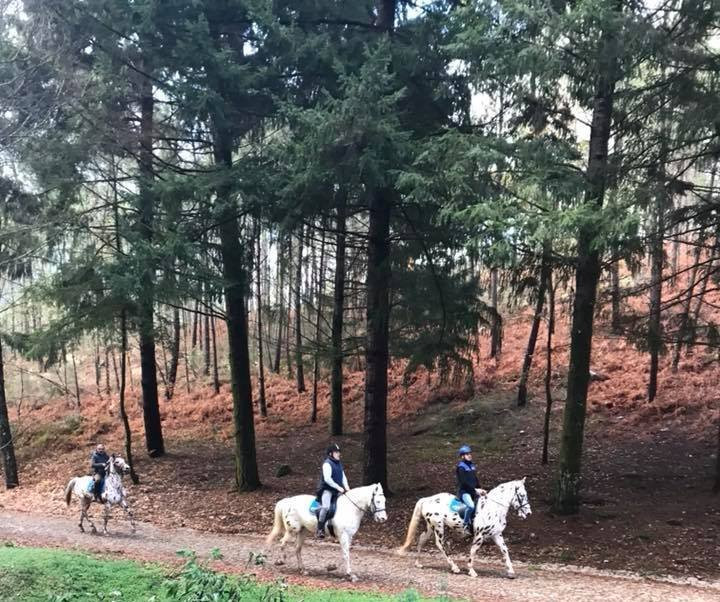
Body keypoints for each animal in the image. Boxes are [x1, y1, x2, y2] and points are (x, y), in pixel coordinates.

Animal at [396, 478, 532, 576]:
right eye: (521, 495)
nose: (528, 513)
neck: (493, 508)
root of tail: (427, 499)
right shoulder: (479, 535)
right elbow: (473, 550)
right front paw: (471, 571)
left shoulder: (496, 534)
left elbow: (505, 550)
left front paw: (511, 571)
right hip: (438, 526)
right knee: (440, 544)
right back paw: (454, 567)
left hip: (431, 526)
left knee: (422, 539)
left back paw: (418, 563)